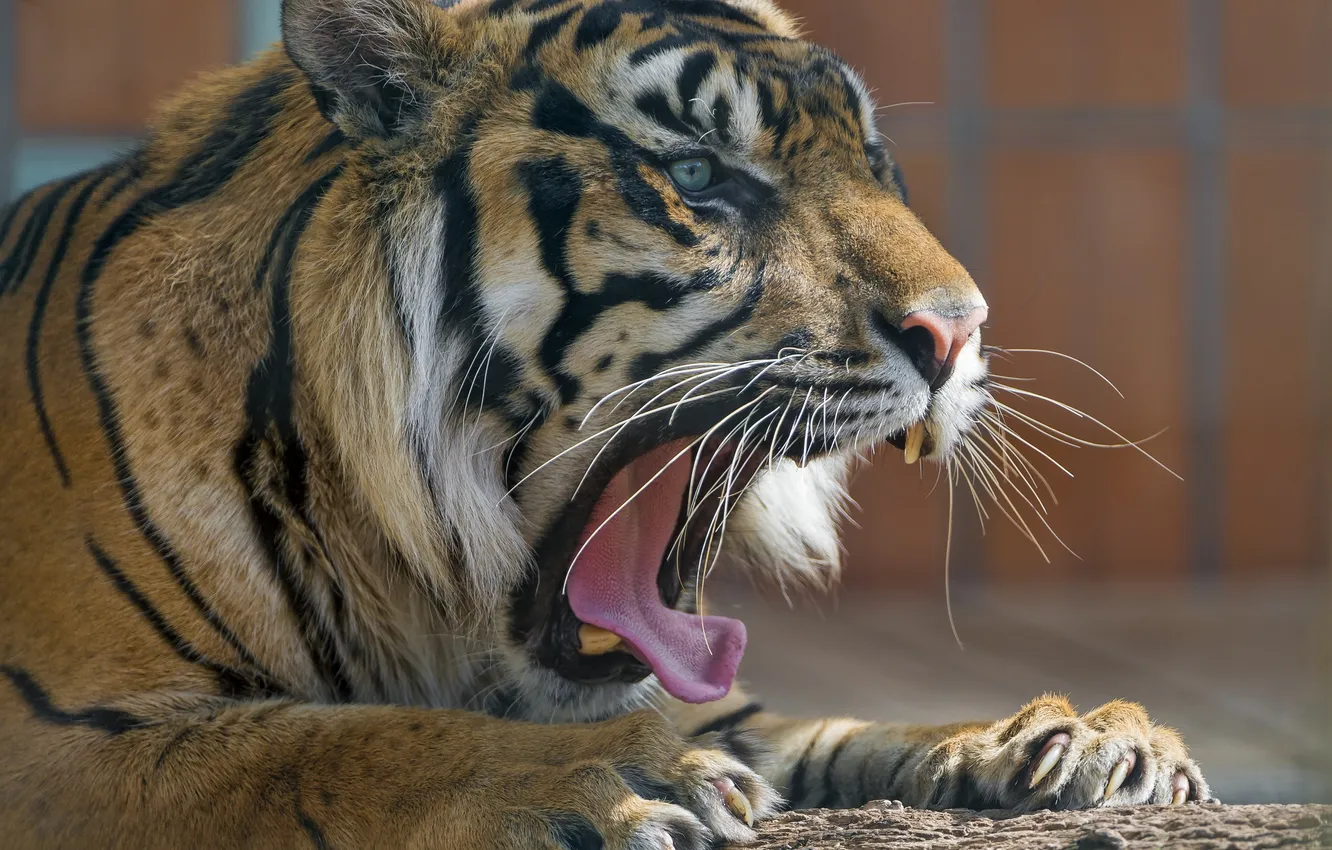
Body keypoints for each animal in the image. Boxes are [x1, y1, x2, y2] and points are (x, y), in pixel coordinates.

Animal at [0, 0, 1214, 846]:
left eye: (876, 162)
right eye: (696, 173)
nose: (959, 331)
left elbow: (833, 731)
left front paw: (1071, 743)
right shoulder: (63, 741)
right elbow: (338, 744)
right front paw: (619, 777)